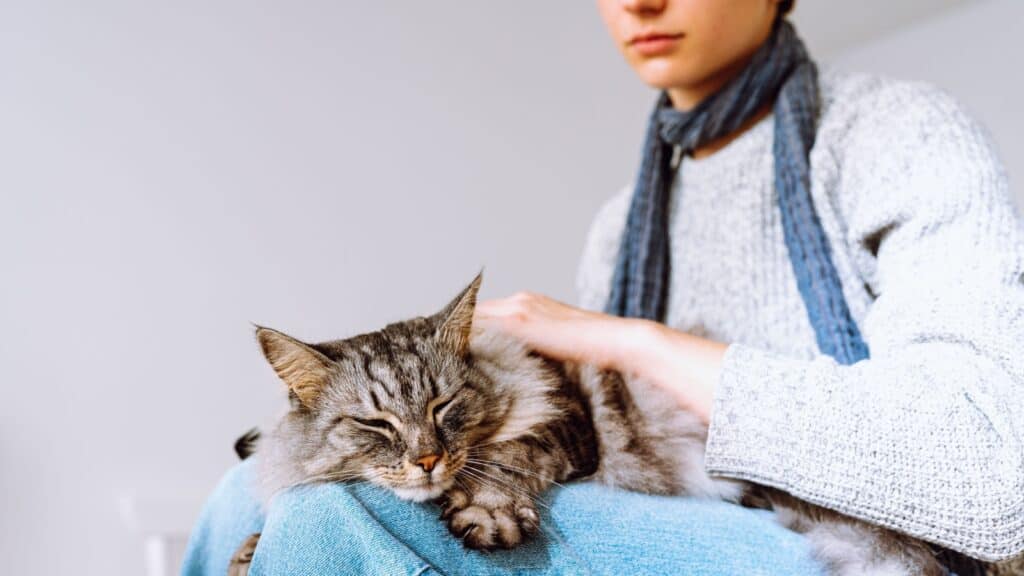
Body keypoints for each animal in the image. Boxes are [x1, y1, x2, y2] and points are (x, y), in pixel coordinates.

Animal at [226, 272, 958, 573]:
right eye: (376, 424)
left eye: (442, 407)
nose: (428, 460)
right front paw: (247, 551)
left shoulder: (566, 413)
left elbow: (510, 457)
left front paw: (487, 512)